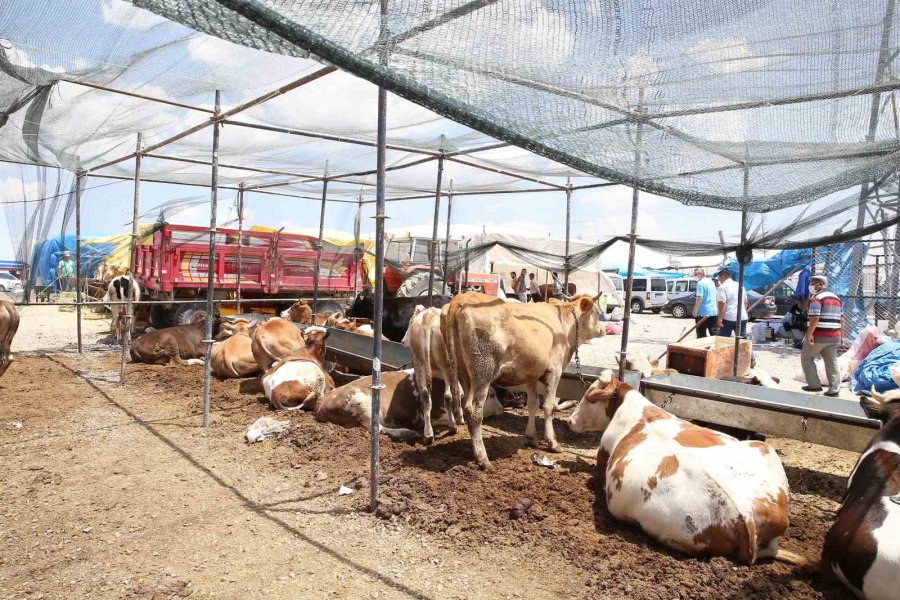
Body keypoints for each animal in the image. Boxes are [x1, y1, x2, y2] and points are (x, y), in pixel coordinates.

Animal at [316, 370, 502, 440]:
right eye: (491, 394)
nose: (502, 409)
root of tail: (323, 401)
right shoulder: (436, 413)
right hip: (362, 402)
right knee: (375, 428)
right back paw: (406, 432)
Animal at [442, 292, 604, 472]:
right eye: (597, 313)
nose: (603, 330)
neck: (562, 325)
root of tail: (462, 298)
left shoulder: (531, 375)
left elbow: (532, 404)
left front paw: (531, 437)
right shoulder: (554, 371)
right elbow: (548, 407)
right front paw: (553, 443)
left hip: (463, 374)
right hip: (483, 373)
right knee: (474, 412)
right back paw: (483, 458)